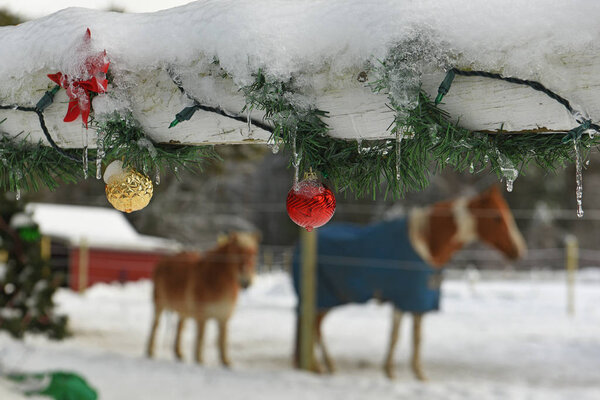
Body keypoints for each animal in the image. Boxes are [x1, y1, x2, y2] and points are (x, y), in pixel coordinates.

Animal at [146, 231, 258, 366]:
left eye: (253, 253)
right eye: (236, 253)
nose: (246, 282)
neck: (213, 280)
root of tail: (163, 261)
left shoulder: (223, 317)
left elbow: (222, 339)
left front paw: (225, 362)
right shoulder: (202, 317)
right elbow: (201, 338)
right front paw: (199, 360)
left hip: (183, 310)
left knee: (180, 326)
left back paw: (178, 353)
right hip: (159, 304)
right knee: (155, 325)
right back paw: (150, 351)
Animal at [298, 186, 528, 380]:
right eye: (497, 217)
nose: (519, 250)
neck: (425, 243)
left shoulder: (418, 301)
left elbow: (417, 337)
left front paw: (419, 373)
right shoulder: (403, 299)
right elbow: (396, 335)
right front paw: (390, 371)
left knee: (314, 328)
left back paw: (322, 365)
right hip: (323, 299)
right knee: (315, 329)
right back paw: (324, 366)